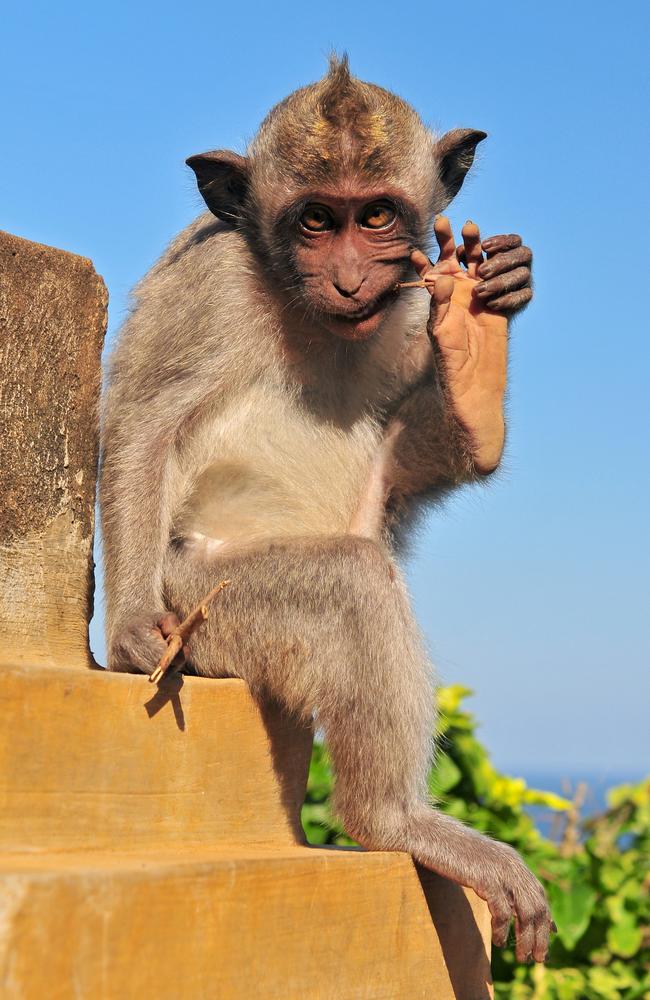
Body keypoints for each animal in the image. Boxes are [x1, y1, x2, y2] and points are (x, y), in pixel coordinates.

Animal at [98, 58, 548, 964]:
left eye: (374, 216)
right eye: (314, 220)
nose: (347, 277)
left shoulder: (409, 294)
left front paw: (478, 328)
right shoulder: (210, 284)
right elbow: (143, 421)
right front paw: (128, 629)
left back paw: (476, 381)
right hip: (207, 599)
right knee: (350, 582)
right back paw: (393, 820)